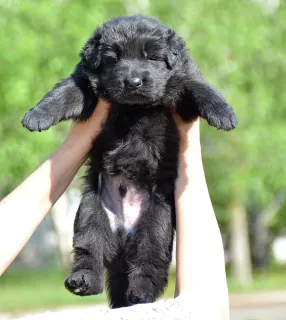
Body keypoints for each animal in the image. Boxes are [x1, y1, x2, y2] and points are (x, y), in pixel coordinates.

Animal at [21, 15, 237, 308]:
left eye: (152, 57)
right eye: (113, 59)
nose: (133, 82)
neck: (134, 107)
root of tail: (123, 240)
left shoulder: (181, 85)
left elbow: (200, 87)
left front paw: (224, 113)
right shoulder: (86, 84)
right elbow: (65, 92)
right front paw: (37, 115)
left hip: (157, 224)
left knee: (149, 262)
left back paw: (140, 293)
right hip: (90, 211)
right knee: (89, 251)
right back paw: (83, 281)